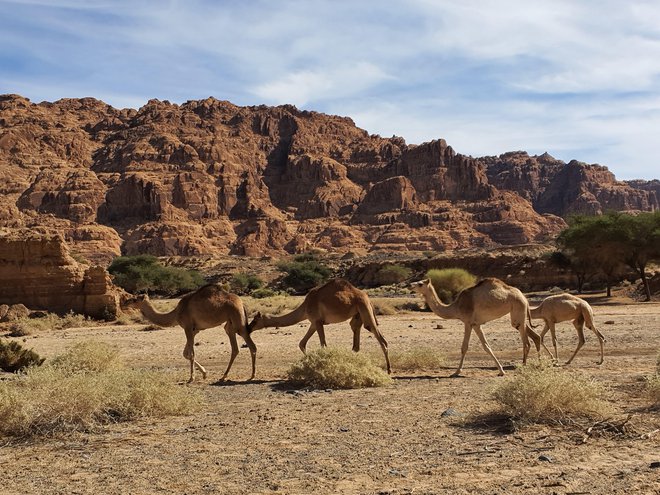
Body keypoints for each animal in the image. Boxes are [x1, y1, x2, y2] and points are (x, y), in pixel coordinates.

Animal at [122, 282, 256, 384]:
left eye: (135, 299)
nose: (124, 303)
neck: (176, 313)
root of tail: (241, 303)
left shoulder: (187, 327)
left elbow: (191, 354)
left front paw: (191, 378)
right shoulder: (194, 330)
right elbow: (185, 353)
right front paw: (204, 373)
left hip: (237, 319)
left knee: (251, 345)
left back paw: (252, 376)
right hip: (230, 324)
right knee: (235, 347)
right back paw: (224, 376)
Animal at [248, 280, 392, 374]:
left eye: (254, 321)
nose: (248, 328)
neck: (304, 307)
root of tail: (367, 297)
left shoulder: (318, 322)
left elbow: (323, 345)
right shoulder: (313, 323)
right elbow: (302, 343)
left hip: (364, 309)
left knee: (380, 338)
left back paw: (389, 370)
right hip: (357, 315)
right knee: (356, 339)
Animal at [410, 278, 544, 378]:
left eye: (420, 284)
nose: (410, 285)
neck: (456, 307)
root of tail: (524, 297)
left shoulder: (468, 322)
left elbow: (465, 347)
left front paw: (457, 372)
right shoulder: (476, 324)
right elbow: (486, 346)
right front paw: (501, 370)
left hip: (518, 311)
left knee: (526, 342)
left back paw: (524, 366)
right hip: (519, 316)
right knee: (535, 337)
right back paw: (538, 364)